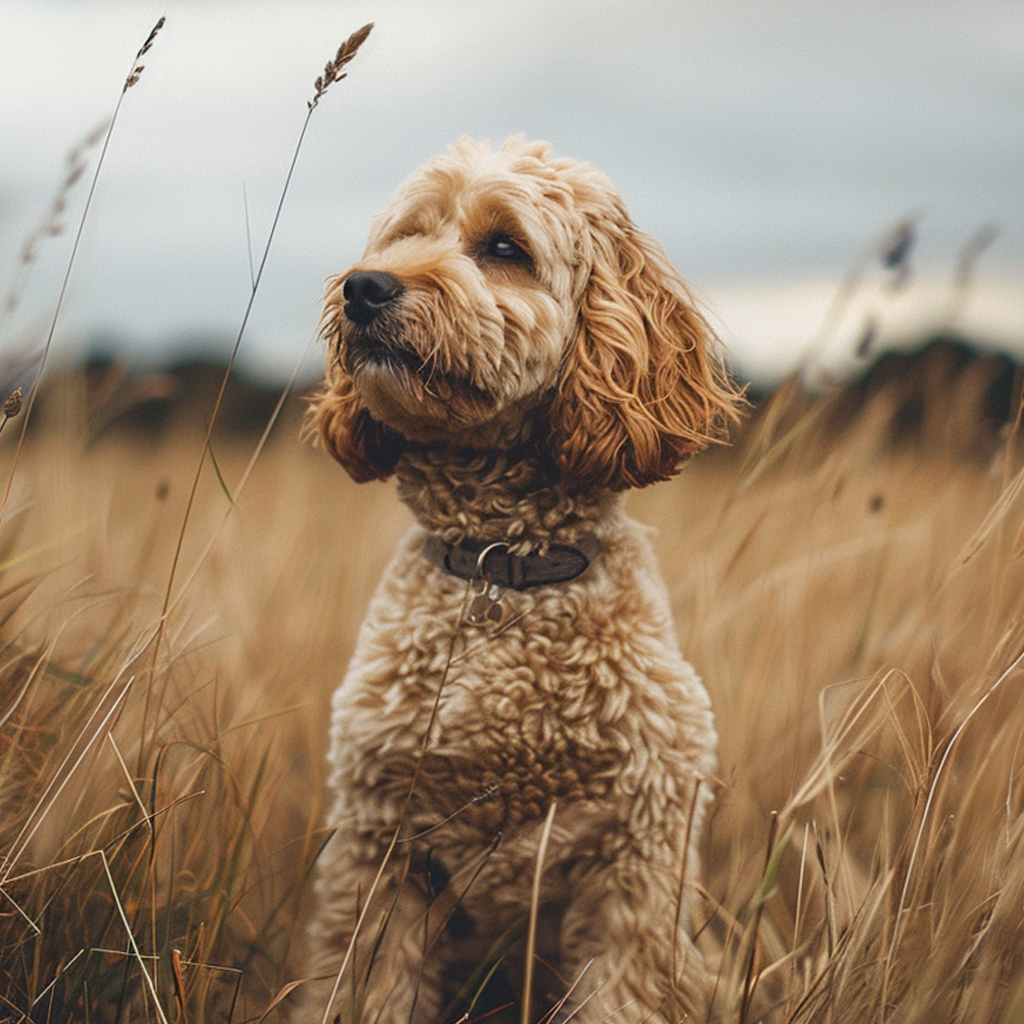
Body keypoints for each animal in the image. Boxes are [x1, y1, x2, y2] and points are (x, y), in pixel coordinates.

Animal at [299, 138, 745, 1024]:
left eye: (504, 247)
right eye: (406, 235)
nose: (364, 287)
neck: (498, 565)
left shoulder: (636, 867)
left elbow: (623, 996)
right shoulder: (377, 851)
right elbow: (371, 987)